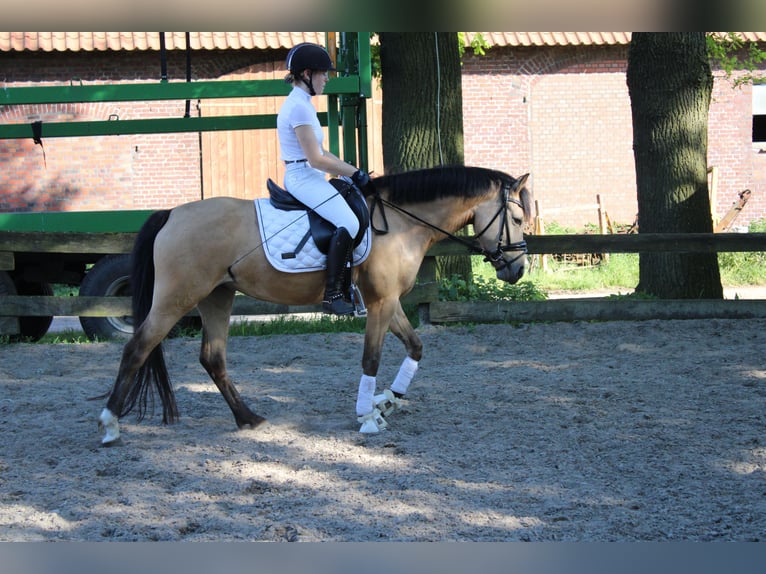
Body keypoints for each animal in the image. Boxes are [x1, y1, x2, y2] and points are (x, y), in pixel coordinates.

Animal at [97, 165, 536, 446]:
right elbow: (371, 358)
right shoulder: (380, 303)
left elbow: (415, 346)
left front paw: (389, 401)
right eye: (516, 218)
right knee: (137, 348)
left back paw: (248, 419)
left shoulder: (390, 302)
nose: (517, 269)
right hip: (177, 298)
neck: (400, 222)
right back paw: (110, 425)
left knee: (212, 358)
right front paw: (368, 416)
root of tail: (172, 214)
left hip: (216, 297)